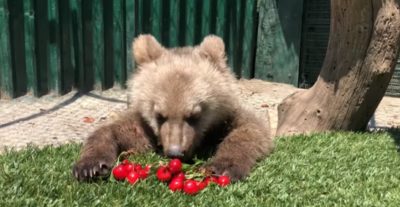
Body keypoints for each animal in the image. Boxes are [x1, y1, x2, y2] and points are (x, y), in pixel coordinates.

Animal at [72, 34, 274, 182]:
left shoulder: (227, 117)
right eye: (159, 115)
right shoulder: (144, 126)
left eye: (195, 115)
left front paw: (223, 167)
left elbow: (250, 130)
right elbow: (116, 130)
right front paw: (90, 167)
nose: (175, 152)